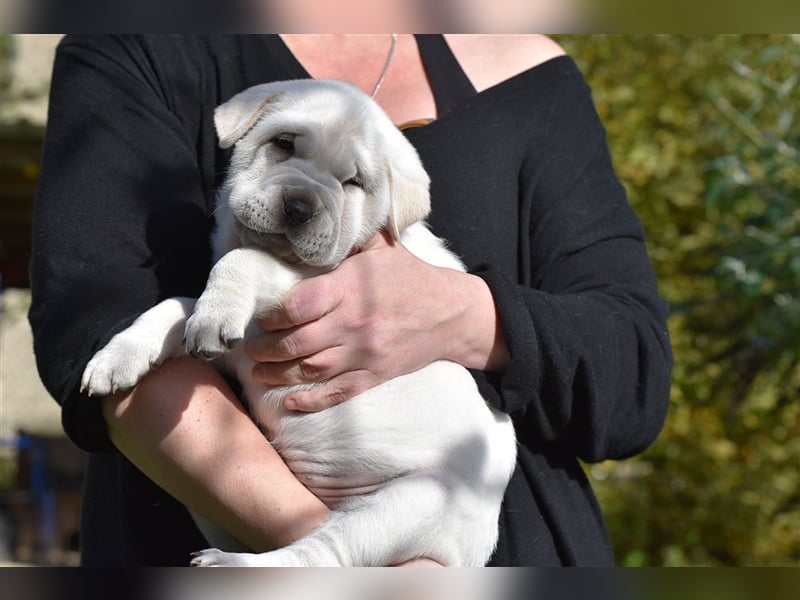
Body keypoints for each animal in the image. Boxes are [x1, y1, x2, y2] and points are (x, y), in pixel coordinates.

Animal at [83, 79, 520, 568]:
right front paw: (119, 355)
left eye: (353, 182)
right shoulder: (237, 347)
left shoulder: (317, 282)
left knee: (321, 556)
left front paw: (213, 312)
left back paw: (234, 566)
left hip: (410, 504)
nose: (298, 206)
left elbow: (243, 261)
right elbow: (176, 304)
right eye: (283, 144)